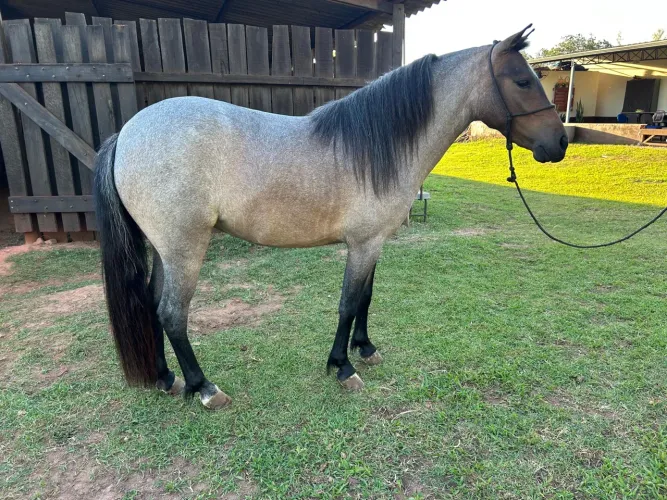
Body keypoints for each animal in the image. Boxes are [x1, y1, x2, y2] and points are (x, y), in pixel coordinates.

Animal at [93, 25, 567, 410]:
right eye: (523, 81)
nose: (560, 143)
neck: (378, 146)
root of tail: (127, 133)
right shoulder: (362, 244)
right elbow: (348, 302)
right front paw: (342, 366)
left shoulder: (373, 243)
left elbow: (367, 298)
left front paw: (365, 349)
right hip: (185, 247)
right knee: (173, 312)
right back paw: (204, 387)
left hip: (163, 249)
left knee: (151, 304)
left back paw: (165, 378)